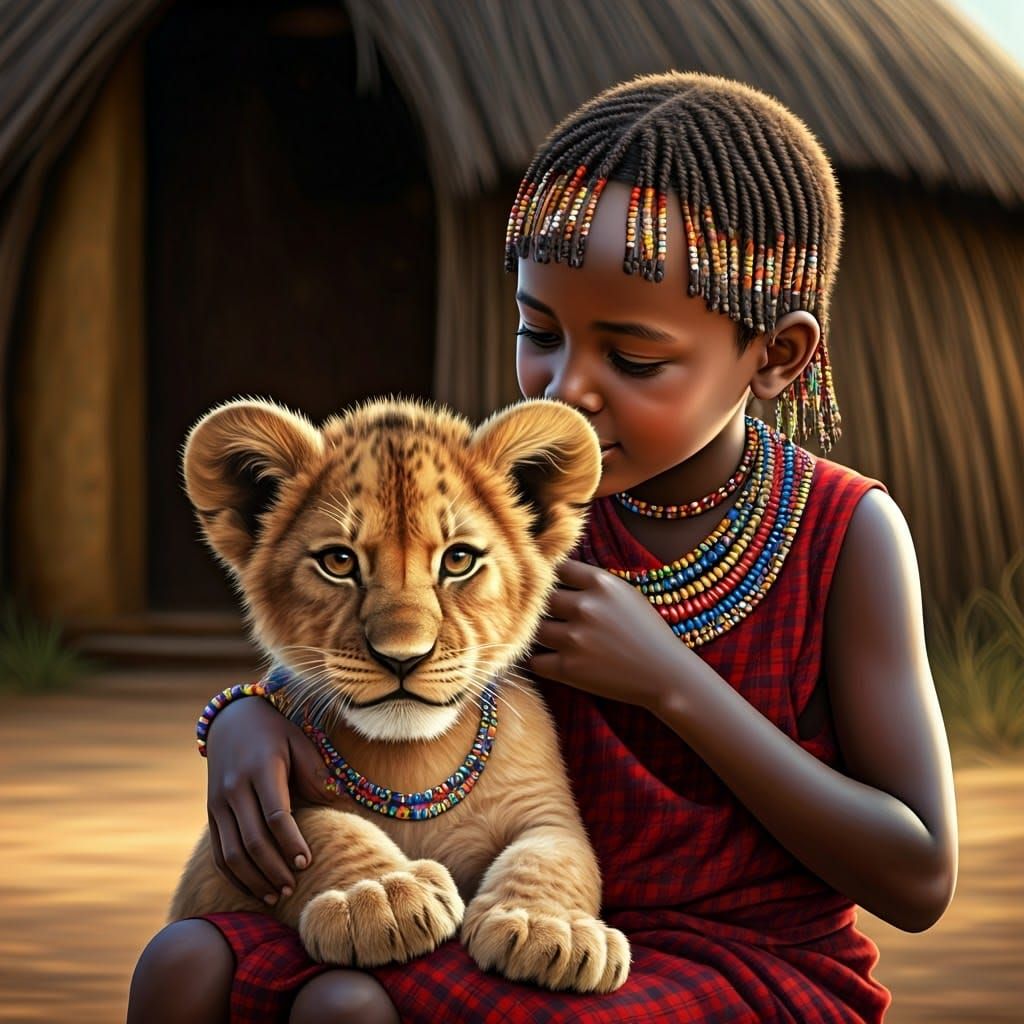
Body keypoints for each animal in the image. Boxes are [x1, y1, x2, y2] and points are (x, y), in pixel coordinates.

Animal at [169, 396, 631, 994]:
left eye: (458, 560)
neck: (412, 762)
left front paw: (549, 928)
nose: (403, 657)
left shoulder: (543, 806)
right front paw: (381, 898)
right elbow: (319, 826)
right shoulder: (232, 847)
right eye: (339, 562)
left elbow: (554, 853)